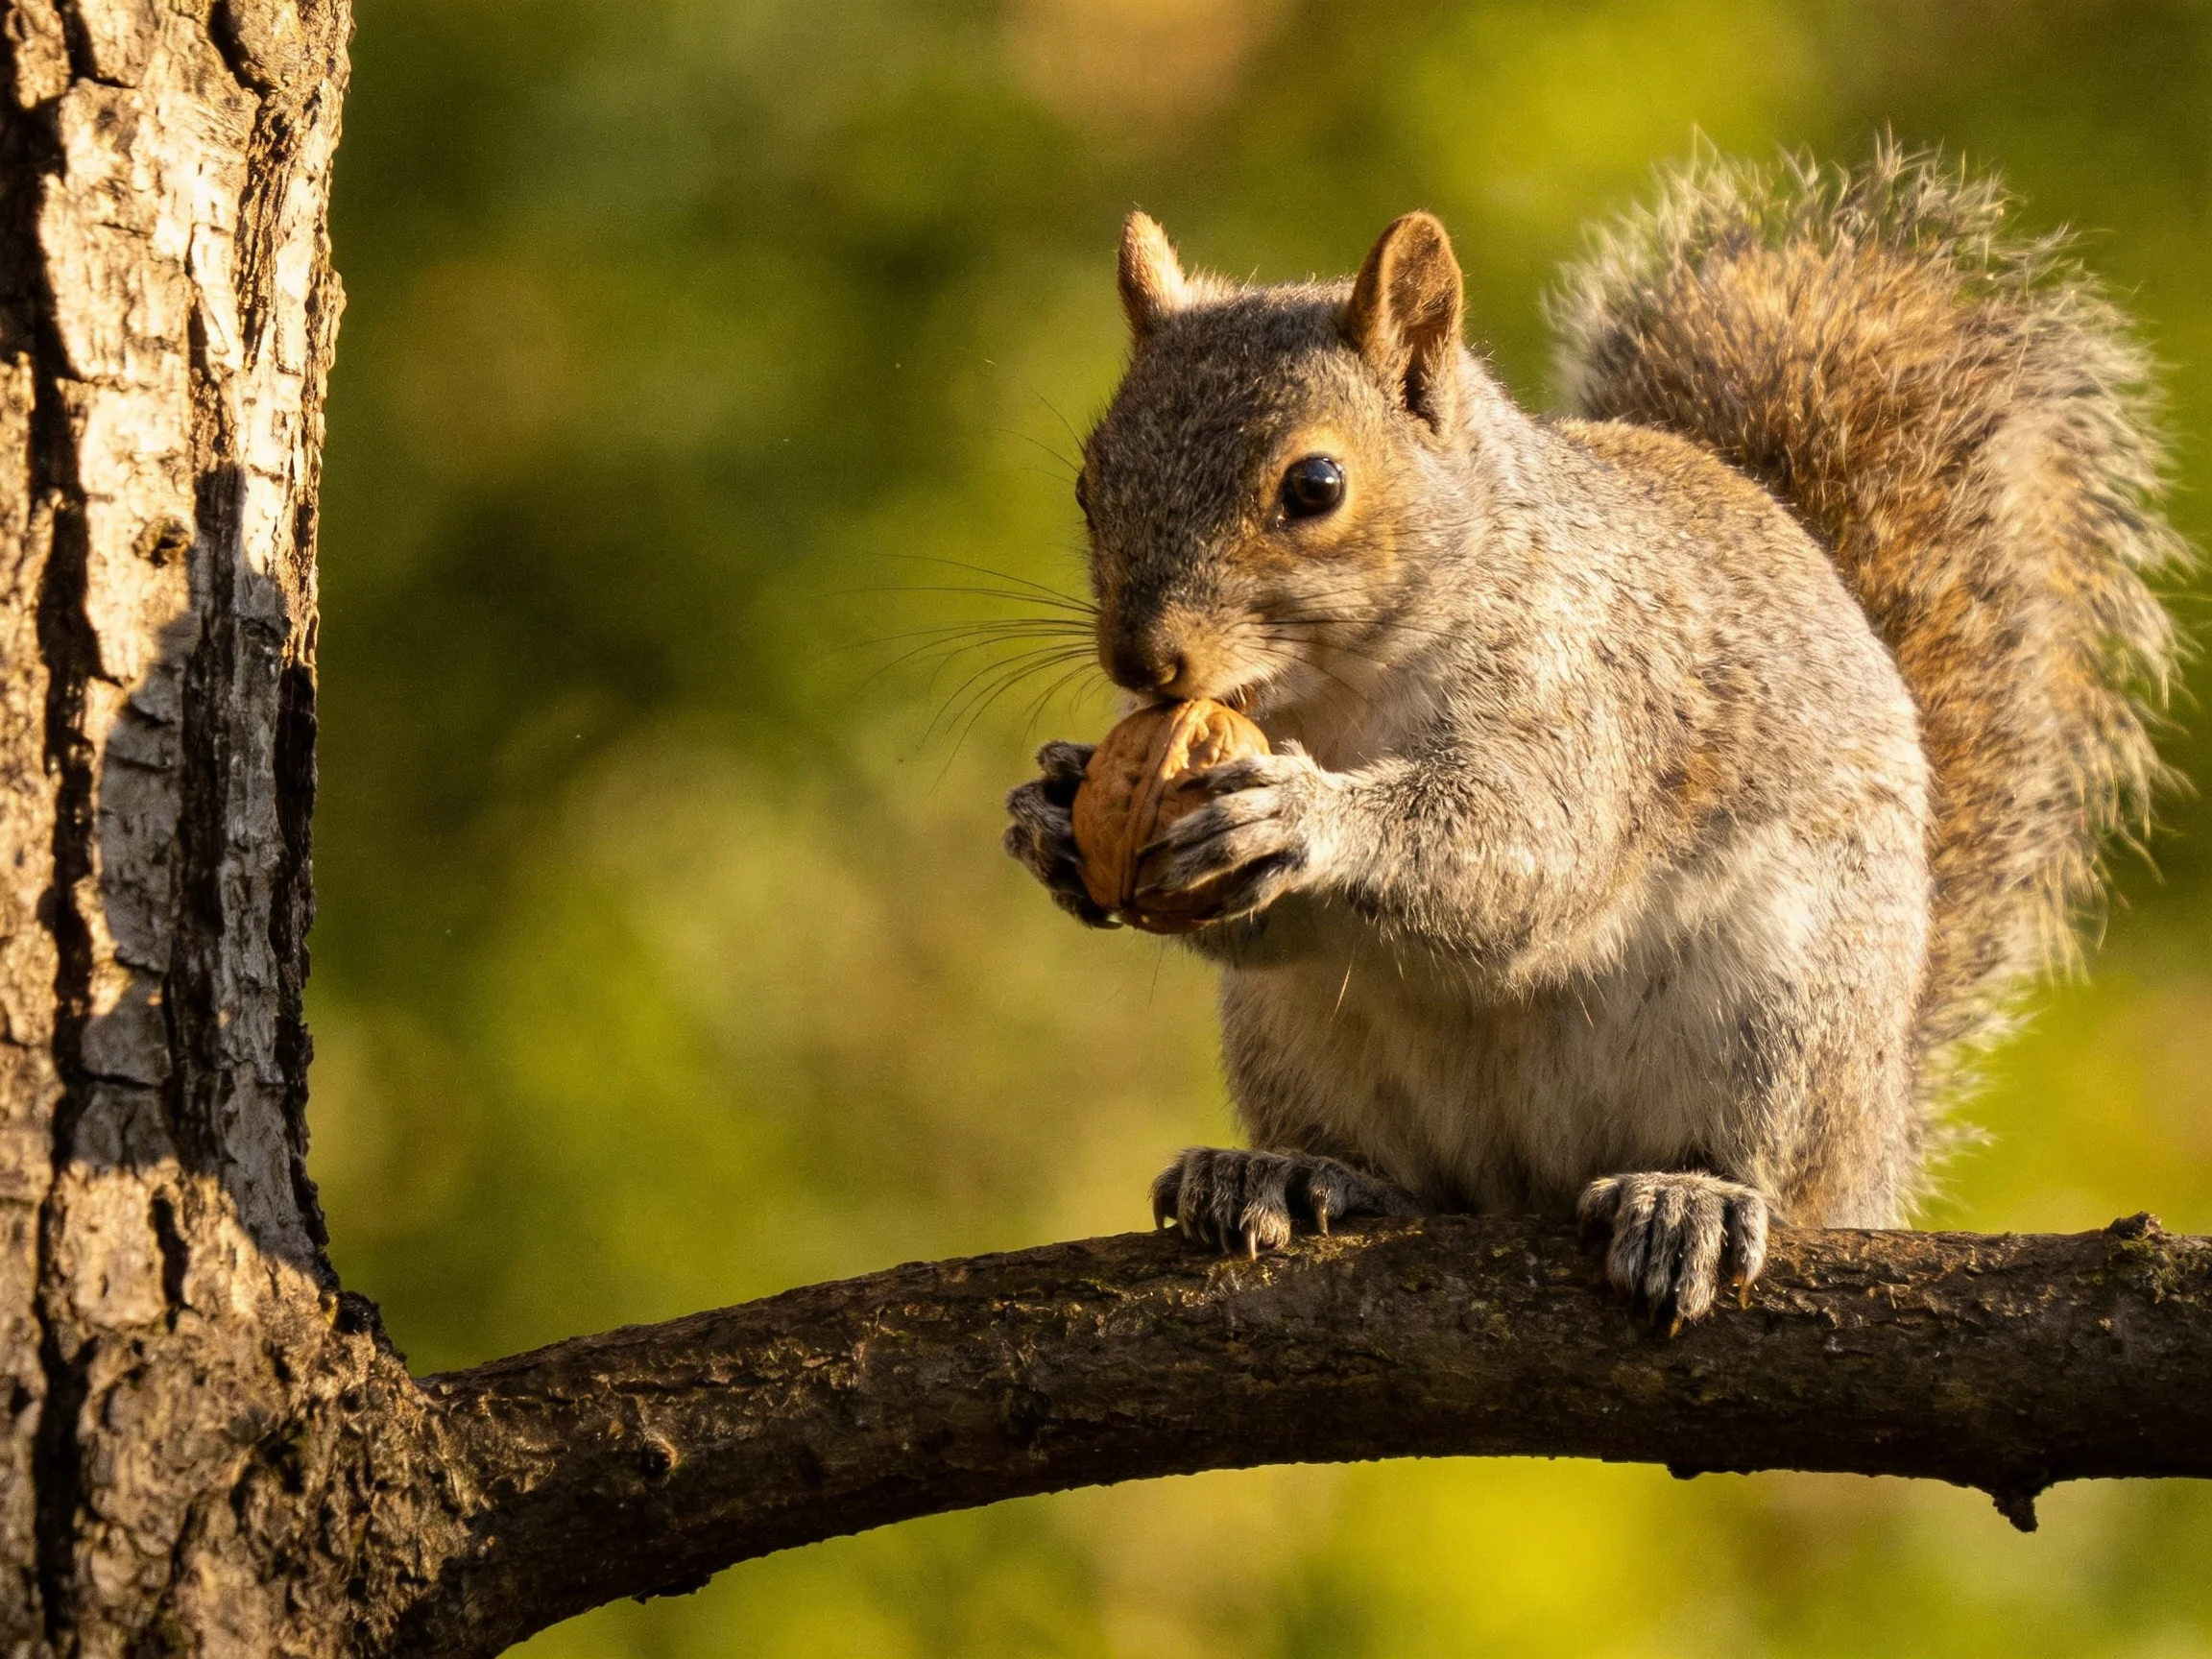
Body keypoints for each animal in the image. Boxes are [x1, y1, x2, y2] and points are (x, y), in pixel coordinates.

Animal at [1003, 146, 2185, 1328]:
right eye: (1090, 481)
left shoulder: (1594, 693)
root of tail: (1880, 1143)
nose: (1143, 662)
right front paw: (1052, 815)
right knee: (1399, 1173)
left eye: (1316, 485)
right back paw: (1287, 1170)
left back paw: (1692, 1197)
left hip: (1784, 1015)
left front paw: (1303, 815)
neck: (1334, 691)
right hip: (1290, 1039)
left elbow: (1527, 851)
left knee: (1768, 1170)